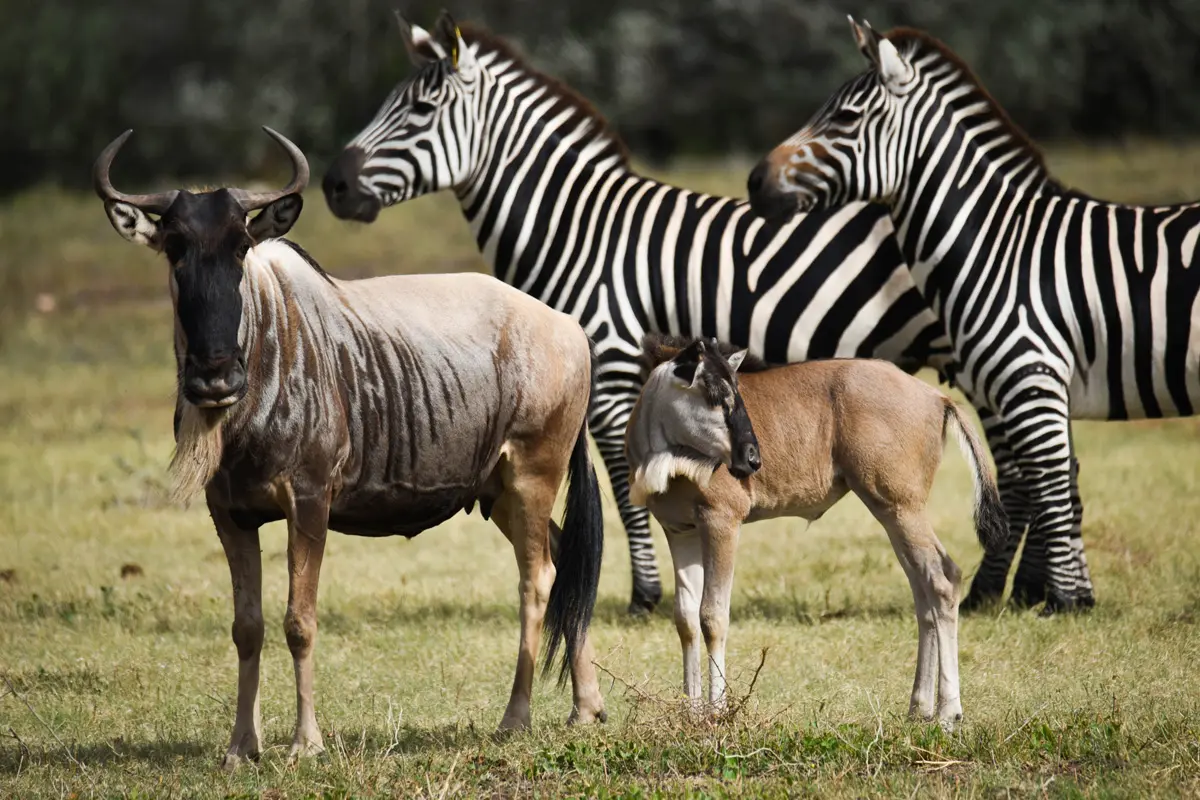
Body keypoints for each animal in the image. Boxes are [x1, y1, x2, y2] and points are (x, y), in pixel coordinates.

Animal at [322, 12, 954, 614]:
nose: (335, 185)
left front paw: (643, 595)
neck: (580, 229)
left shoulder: (611, 360)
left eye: (420, 109)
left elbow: (626, 486)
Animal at [749, 19, 1200, 614]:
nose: (754, 182)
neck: (1001, 248)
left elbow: (1050, 482)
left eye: (845, 117)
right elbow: (1033, 481)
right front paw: (1028, 593)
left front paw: (1066, 600)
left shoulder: (1031, 375)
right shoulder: (1020, 384)